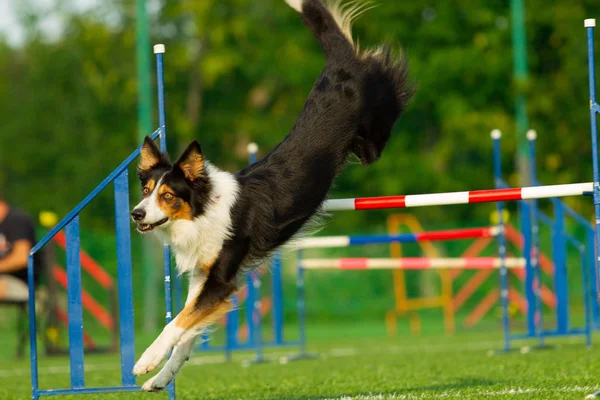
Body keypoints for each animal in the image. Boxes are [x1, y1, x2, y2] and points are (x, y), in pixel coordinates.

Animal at [131, 0, 412, 390]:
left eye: (169, 195)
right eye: (146, 190)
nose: (136, 213)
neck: (203, 211)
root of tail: (339, 65)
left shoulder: (220, 279)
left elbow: (177, 323)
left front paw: (146, 360)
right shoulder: (203, 276)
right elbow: (186, 333)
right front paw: (162, 378)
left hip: (372, 137)